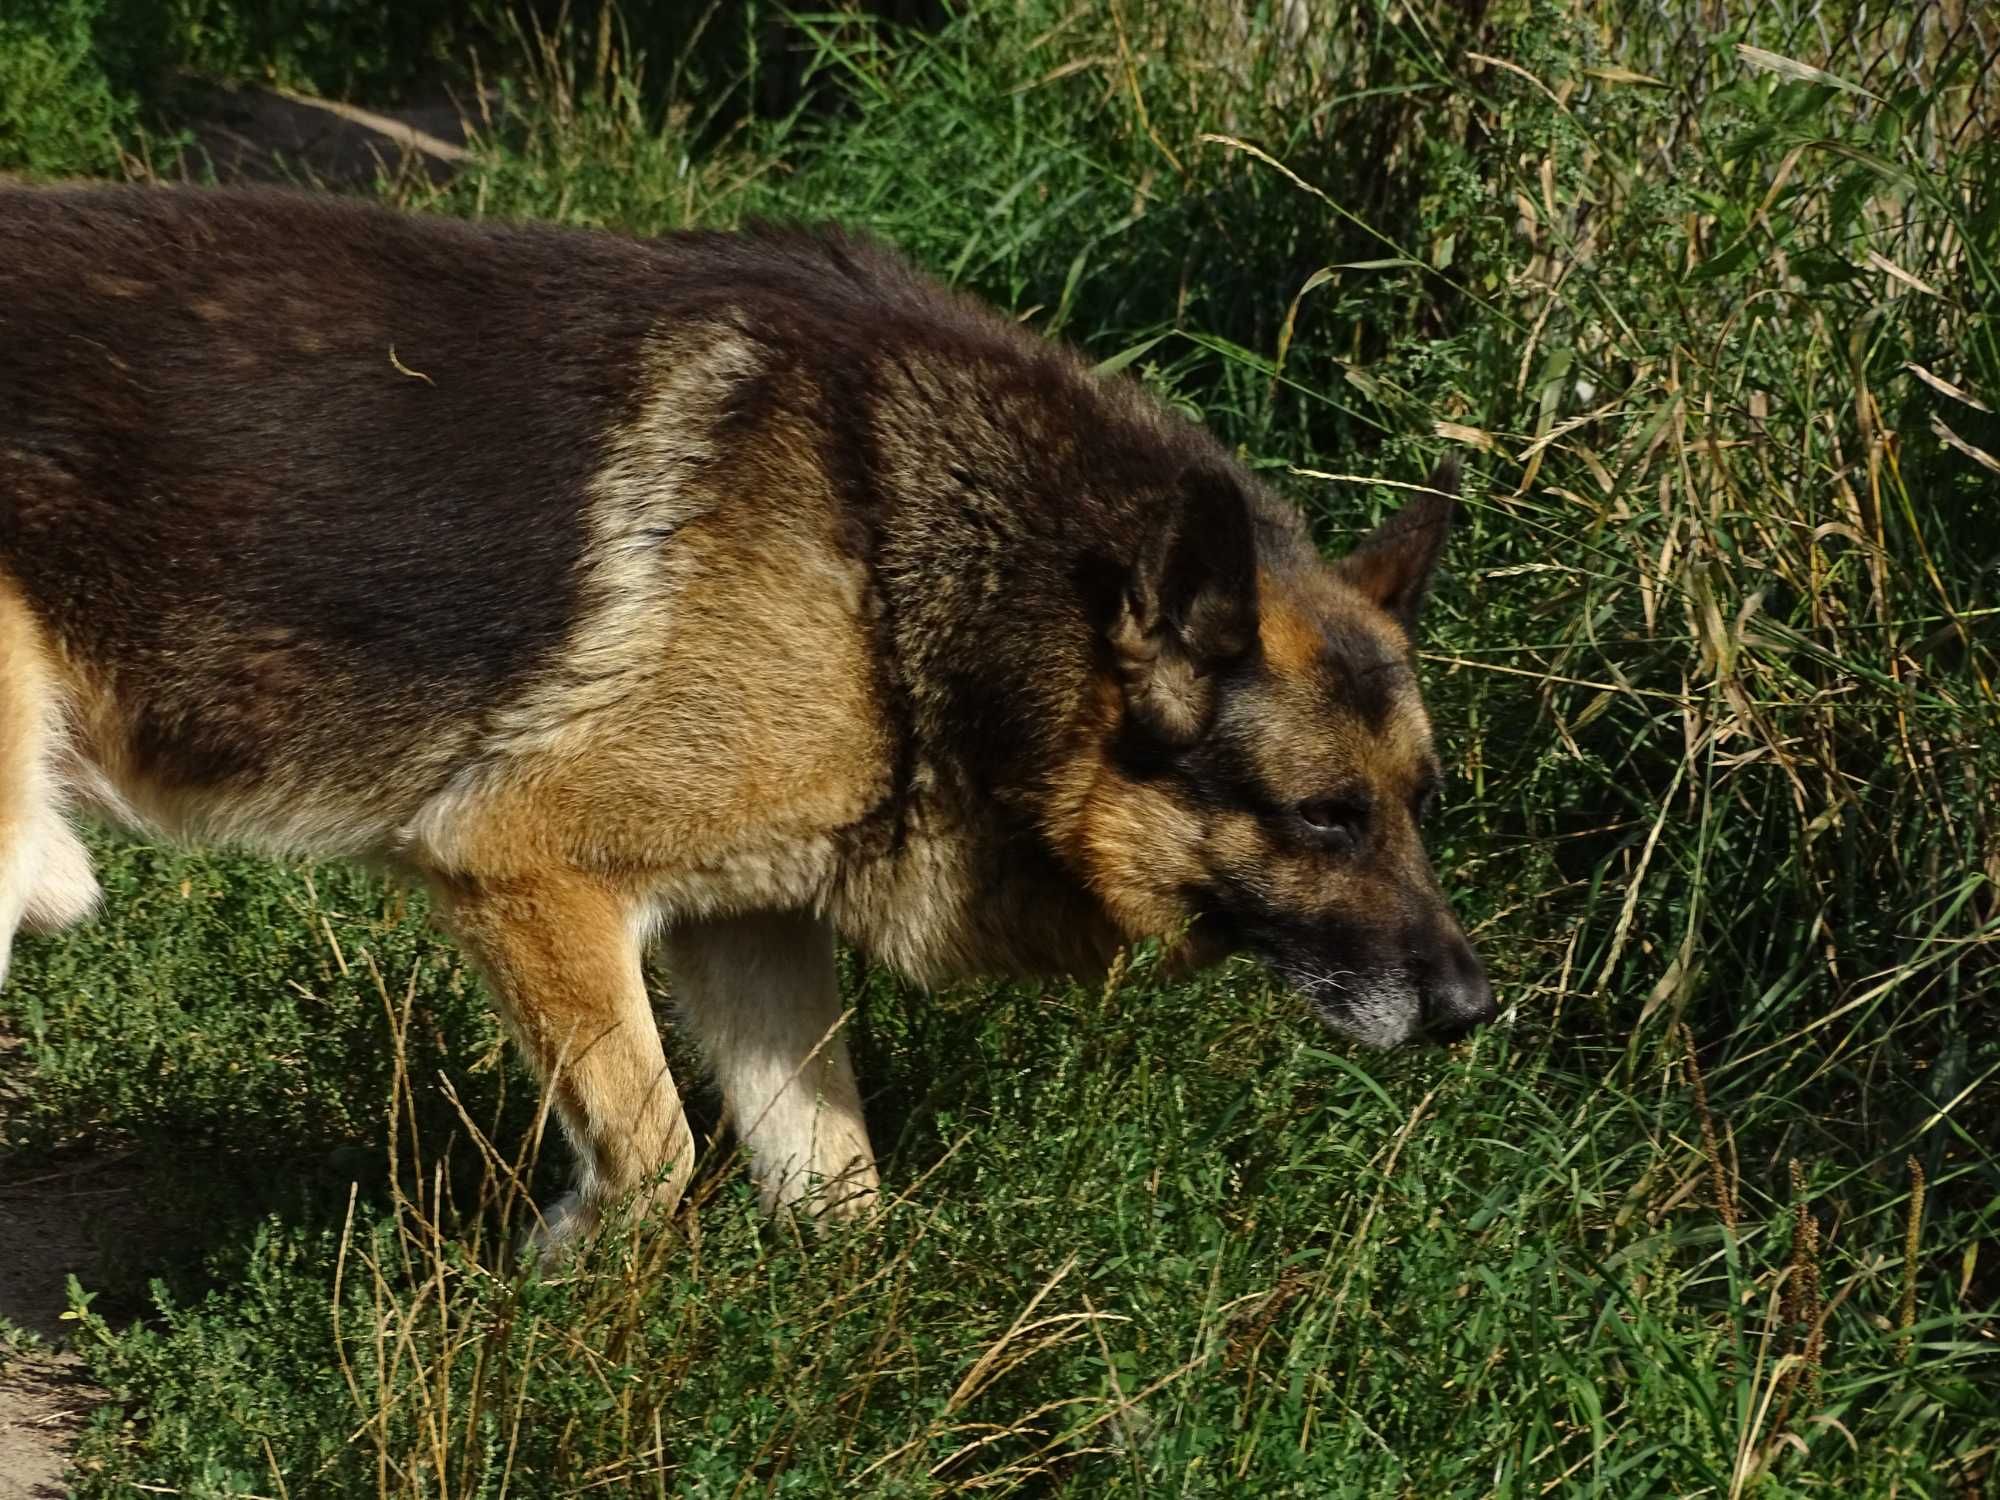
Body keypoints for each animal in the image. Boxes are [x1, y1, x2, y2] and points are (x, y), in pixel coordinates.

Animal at [0, 182, 1496, 1248]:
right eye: (1322, 818)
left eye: (1418, 809)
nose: (1474, 1010)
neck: (893, 562)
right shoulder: (520, 871)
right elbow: (652, 1162)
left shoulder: (750, 931)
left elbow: (840, 1194)